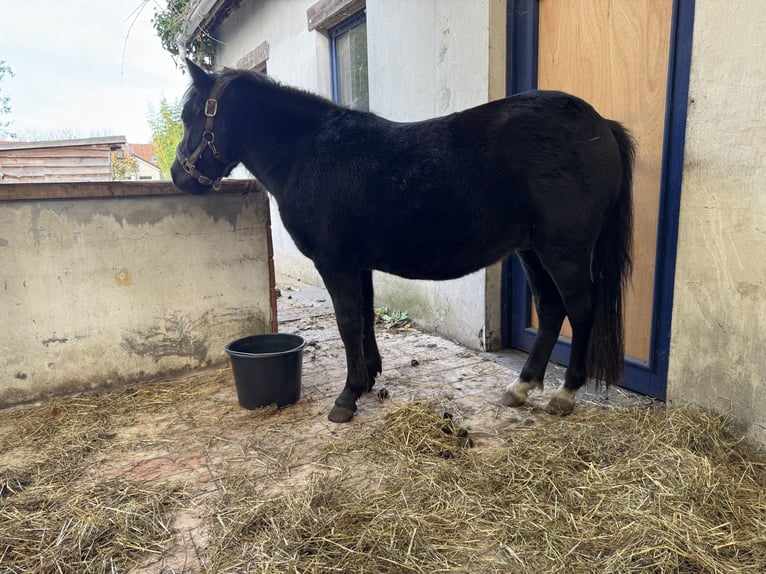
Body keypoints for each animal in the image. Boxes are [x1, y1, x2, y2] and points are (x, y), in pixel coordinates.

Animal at [171, 58, 635, 424]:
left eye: (191, 114)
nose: (178, 177)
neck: (307, 152)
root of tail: (600, 126)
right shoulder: (357, 263)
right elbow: (365, 318)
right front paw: (369, 379)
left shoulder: (335, 262)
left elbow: (347, 322)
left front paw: (347, 397)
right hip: (532, 250)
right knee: (553, 308)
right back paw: (521, 388)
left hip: (564, 250)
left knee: (580, 309)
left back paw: (565, 394)